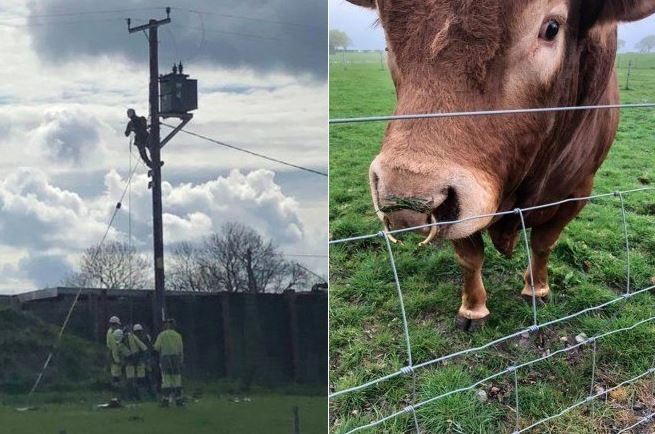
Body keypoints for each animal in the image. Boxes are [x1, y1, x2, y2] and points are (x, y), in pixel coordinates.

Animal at [346, 0, 652, 330]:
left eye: (552, 28)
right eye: (388, 33)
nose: (406, 199)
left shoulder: (576, 192)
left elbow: (543, 243)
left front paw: (536, 289)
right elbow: (469, 257)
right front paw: (473, 309)